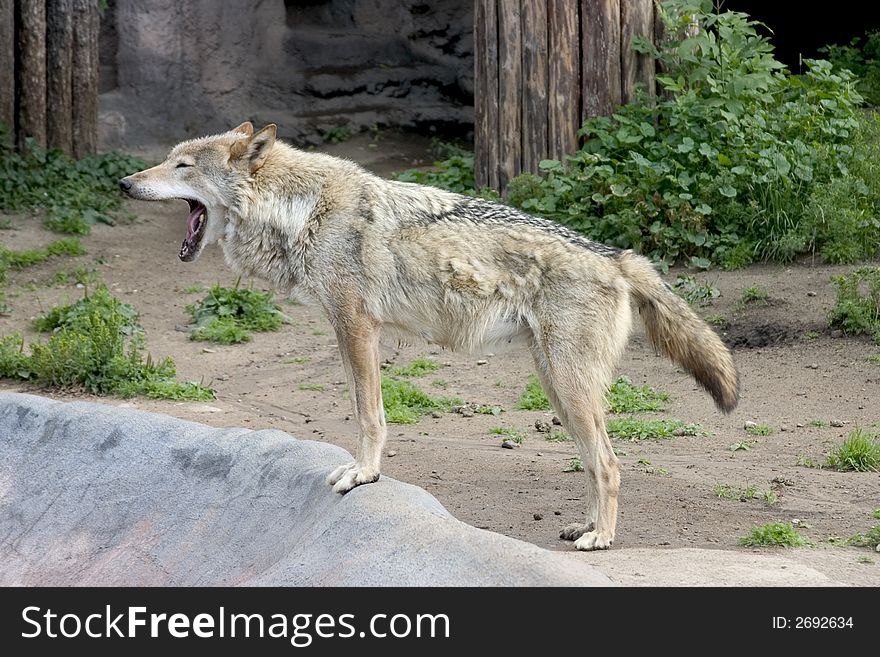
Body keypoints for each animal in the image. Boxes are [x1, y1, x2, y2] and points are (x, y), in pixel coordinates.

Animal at [117, 121, 736, 548]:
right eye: (167, 161)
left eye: (182, 166)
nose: (124, 182)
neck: (300, 210)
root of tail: (618, 256)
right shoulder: (352, 331)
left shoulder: (355, 327)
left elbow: (368, 416)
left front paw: (364, 474)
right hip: (559, 390)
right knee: (593, 461)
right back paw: (582, 526)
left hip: (569, 387)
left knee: (609, 464)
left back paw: (601, 538)